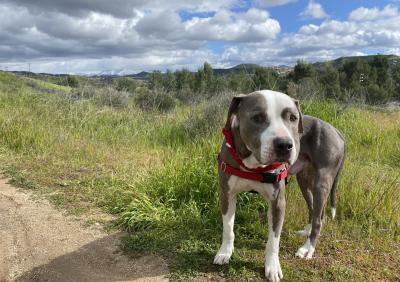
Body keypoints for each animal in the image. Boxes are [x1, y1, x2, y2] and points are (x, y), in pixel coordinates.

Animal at [214, 90, 346, 280]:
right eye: (257, 117)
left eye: (293, 118)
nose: (285, 144)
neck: (253, 164)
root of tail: (336, 130)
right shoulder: (227, 194)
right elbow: (228, 228)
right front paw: (225, 252)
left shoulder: (277, 202)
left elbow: (273, 241)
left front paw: (272, 267)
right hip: (304, 180)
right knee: (316, 212)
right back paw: (306, 231)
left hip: (322, 182)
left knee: (318, 218)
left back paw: (307, 248)